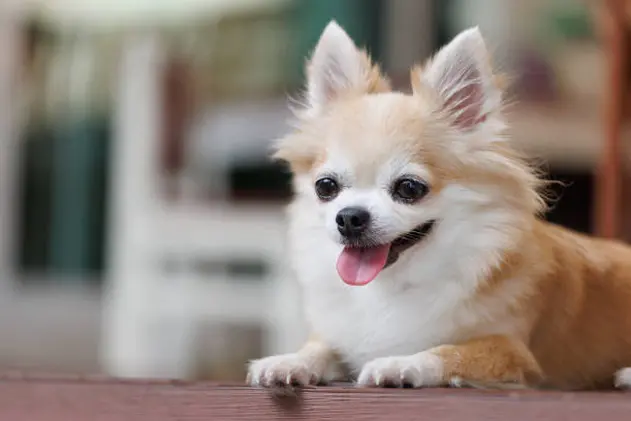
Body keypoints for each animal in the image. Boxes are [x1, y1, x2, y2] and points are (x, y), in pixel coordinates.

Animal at [246, 20, 631, 390]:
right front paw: (288, 362)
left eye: (409, 188)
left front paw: (398, 363)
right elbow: (320, 347)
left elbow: (448, 351)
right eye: (326, 187)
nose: (350, 216)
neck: (393, 286)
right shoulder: (343, 337)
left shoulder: (512, 351)